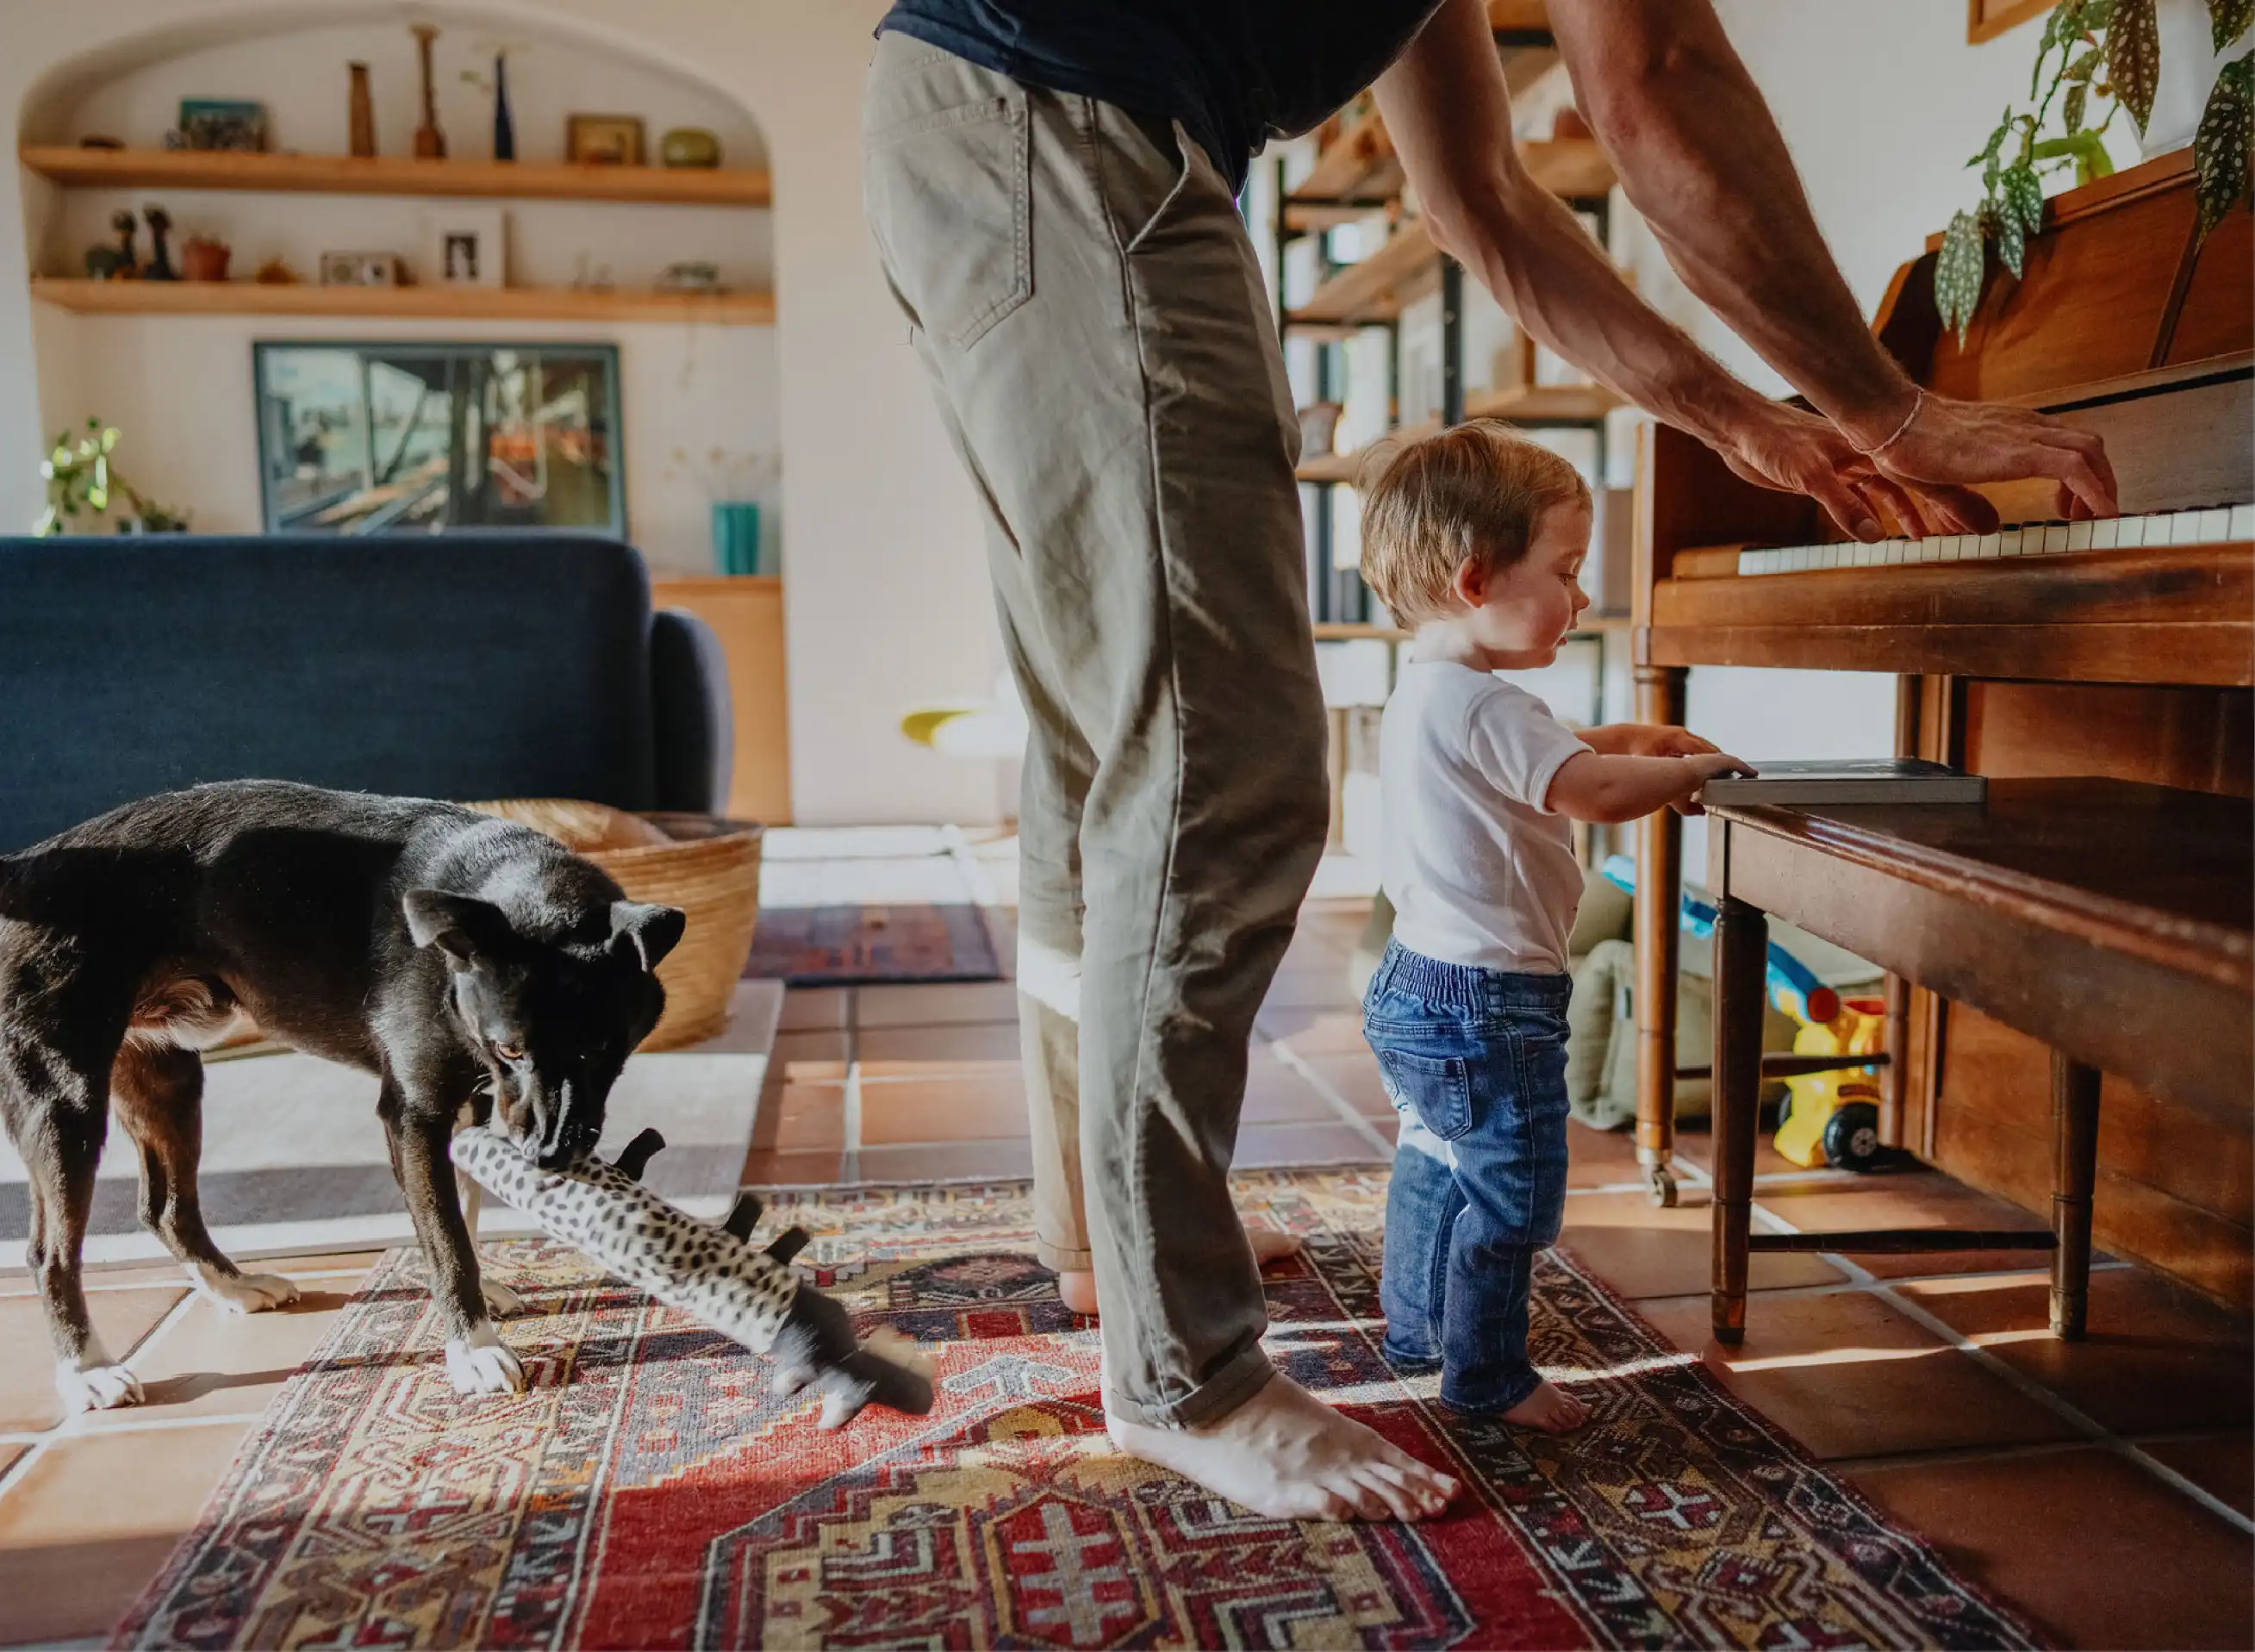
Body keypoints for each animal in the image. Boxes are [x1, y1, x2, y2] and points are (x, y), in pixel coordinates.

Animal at [2, 779, 685, 1415]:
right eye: (509, 1047)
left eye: (604, 1048)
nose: (547, 1155)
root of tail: (22, 869)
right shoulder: (414, 1115)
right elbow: (448, 1240)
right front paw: (474, 1350)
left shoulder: (467, 1107)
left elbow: (459, 1219)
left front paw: (478, 1305)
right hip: (64, 1101)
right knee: (49, 1252)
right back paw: (88, 1369)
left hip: (168, 1079)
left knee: (165, 1208)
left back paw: (232, 1287)